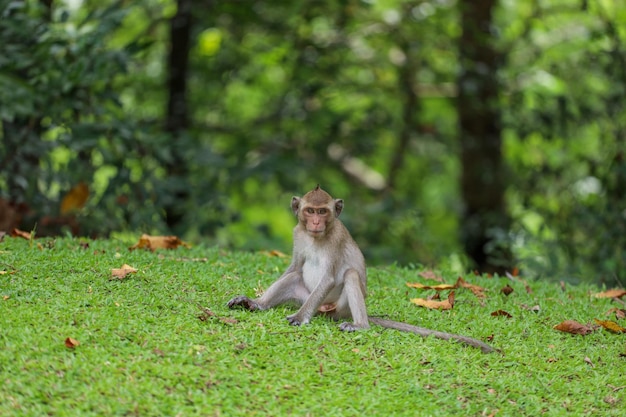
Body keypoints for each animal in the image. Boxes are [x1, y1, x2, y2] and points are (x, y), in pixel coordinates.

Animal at [227, 185, 494, 352]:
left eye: (322, 211)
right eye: (310, 211)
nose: (315, 222)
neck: (316, 237)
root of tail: (327, 311)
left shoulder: (336, 239)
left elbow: (330, 278)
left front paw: (300, 317)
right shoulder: (298, 235)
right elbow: (294, 267)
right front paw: (255, 300)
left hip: (338, 307)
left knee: (350, 275)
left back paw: (359, 325)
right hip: (308, 298)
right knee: (294, 277)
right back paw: (256, 304)